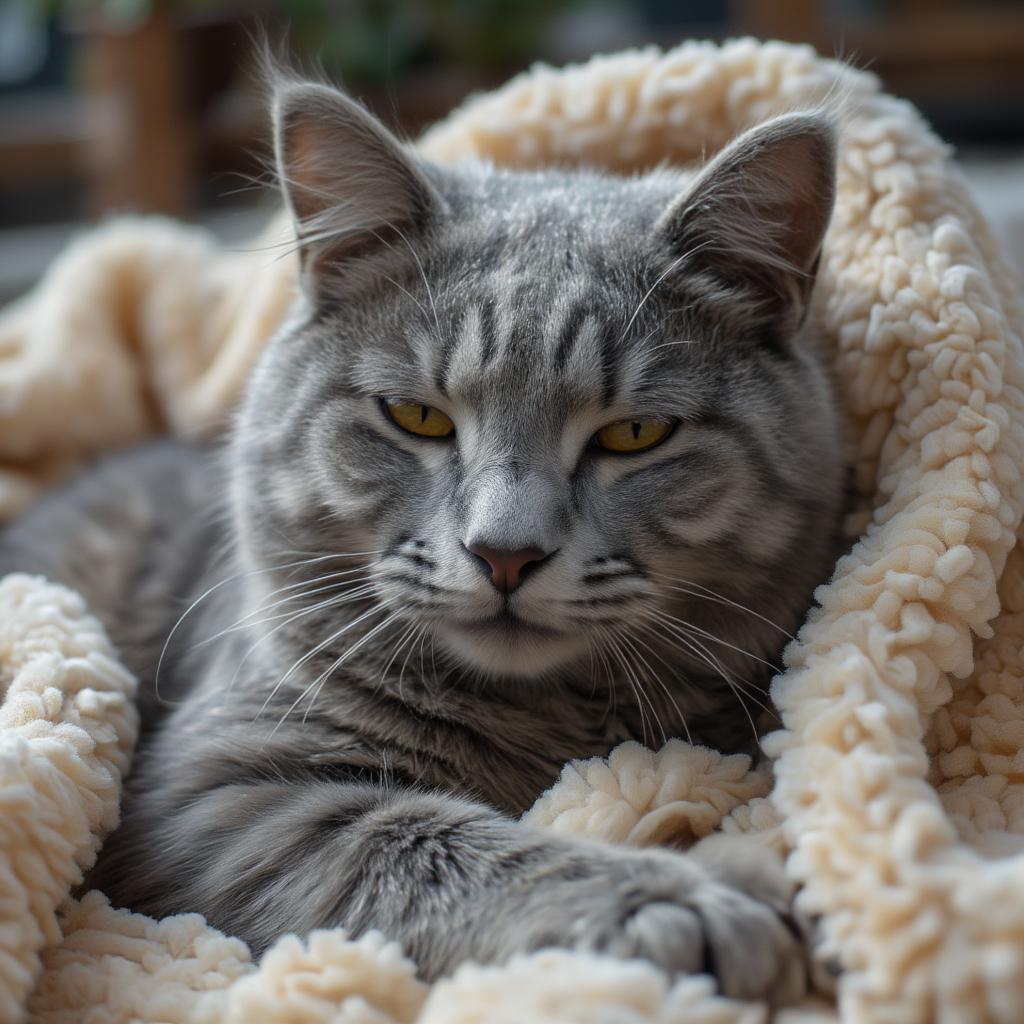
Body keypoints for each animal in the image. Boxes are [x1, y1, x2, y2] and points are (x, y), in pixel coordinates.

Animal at [4, 75, 843, 1003]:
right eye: (417, 417)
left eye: (636, 434)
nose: (506, 552)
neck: (545, 718)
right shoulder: (219, 789)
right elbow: (431, 843)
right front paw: (687, 897)